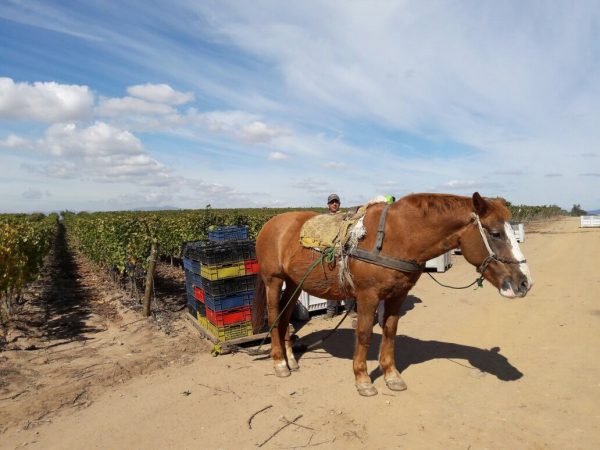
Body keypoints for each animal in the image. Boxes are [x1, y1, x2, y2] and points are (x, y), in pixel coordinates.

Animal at [251, 192, 532, 396]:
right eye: (495, 233)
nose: (524, 283)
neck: (398, 236)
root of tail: (270, 225)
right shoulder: (367, 296)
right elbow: (364, 335)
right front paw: (363, 379)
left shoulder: (397, 295)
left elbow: (390, 332)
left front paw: (391, 375)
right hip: (274, 280)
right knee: (275, 316)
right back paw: (279, 363)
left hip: (294, 283)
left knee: (285, 317)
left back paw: (290, 359)